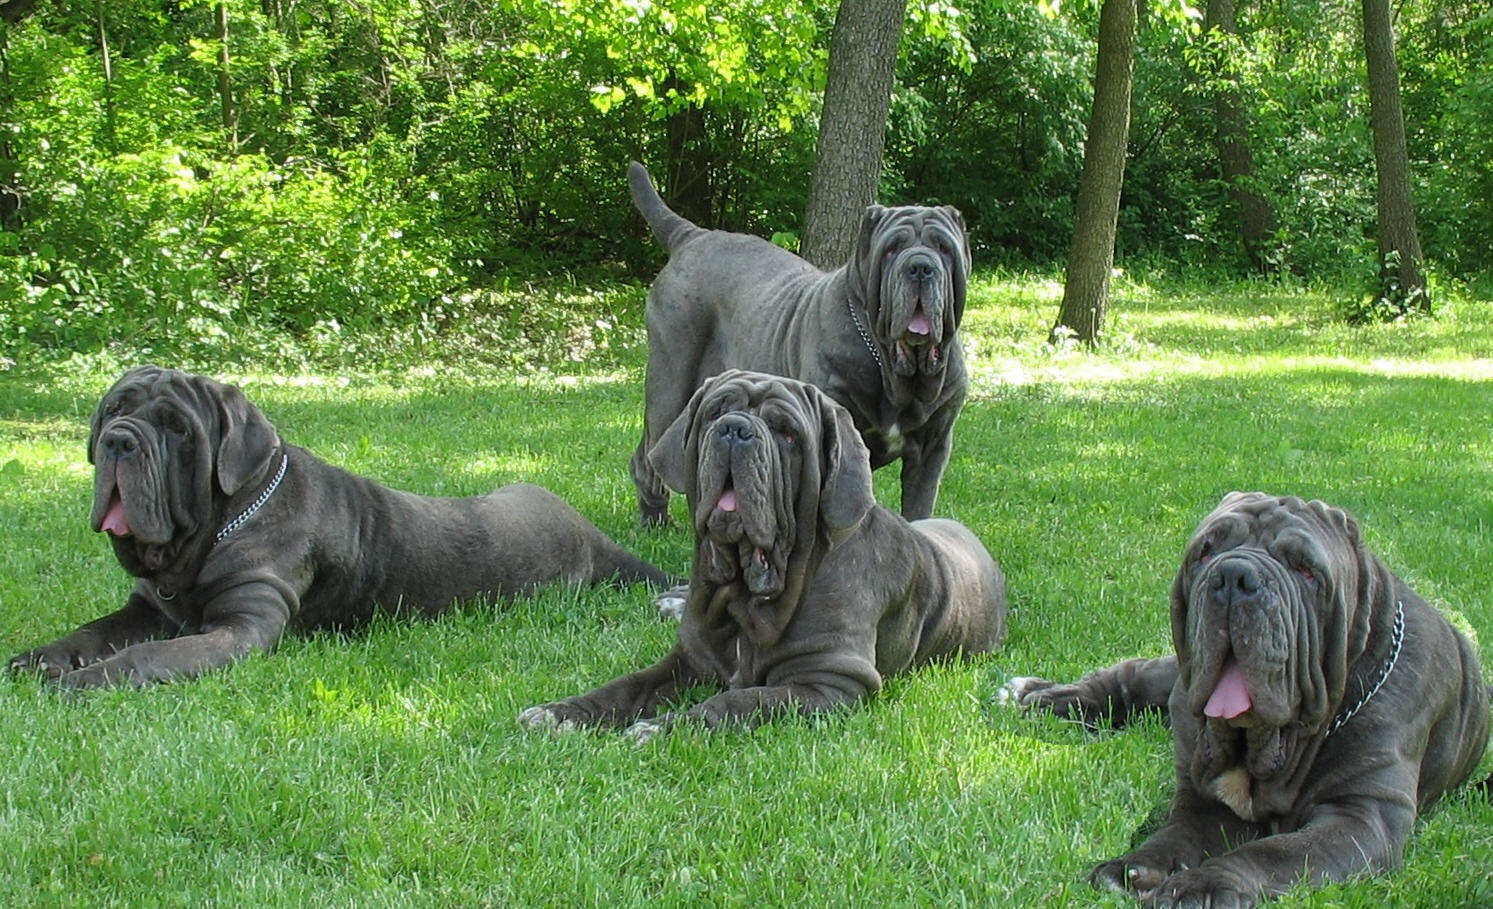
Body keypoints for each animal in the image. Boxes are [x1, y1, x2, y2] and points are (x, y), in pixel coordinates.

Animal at [8, 365, 674, 683]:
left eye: (176, 428)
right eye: (113, 410)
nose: (120, 441)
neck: (222, 525)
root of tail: (586, 531)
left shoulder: (240, 627)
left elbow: (146, 657)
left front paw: (82, 681)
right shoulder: (146, 606)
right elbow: (93, 631)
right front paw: (42, 659)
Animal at [519, 368, 1009, 737]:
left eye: (786, 433)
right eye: (716, 411)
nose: (734, 429)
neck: (749, 591)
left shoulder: (828, 683)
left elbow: (738, 701)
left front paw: (664, 728)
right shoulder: (689, 658)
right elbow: (629, 686)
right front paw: (562, 713)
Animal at [624, 159, 973, 522]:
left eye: (944, 248)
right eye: (891, 249)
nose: (920, 266)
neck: (890, 364)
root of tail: (693, 235)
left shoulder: (932, 450)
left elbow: (918, 510)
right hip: (670, 385)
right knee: (651, 457)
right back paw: (655, 518)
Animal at [997, 489, 1487, 907]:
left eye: (1306, 570)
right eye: (1205, 552)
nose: (1234, 574)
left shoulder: (1361, 817)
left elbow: (1273, 853)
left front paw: (1200, 885)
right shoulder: (1204, 798)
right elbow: (1176, 835)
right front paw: (1134, 867)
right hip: (1181, 679)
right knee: (1132, 678)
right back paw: (1036, 696)